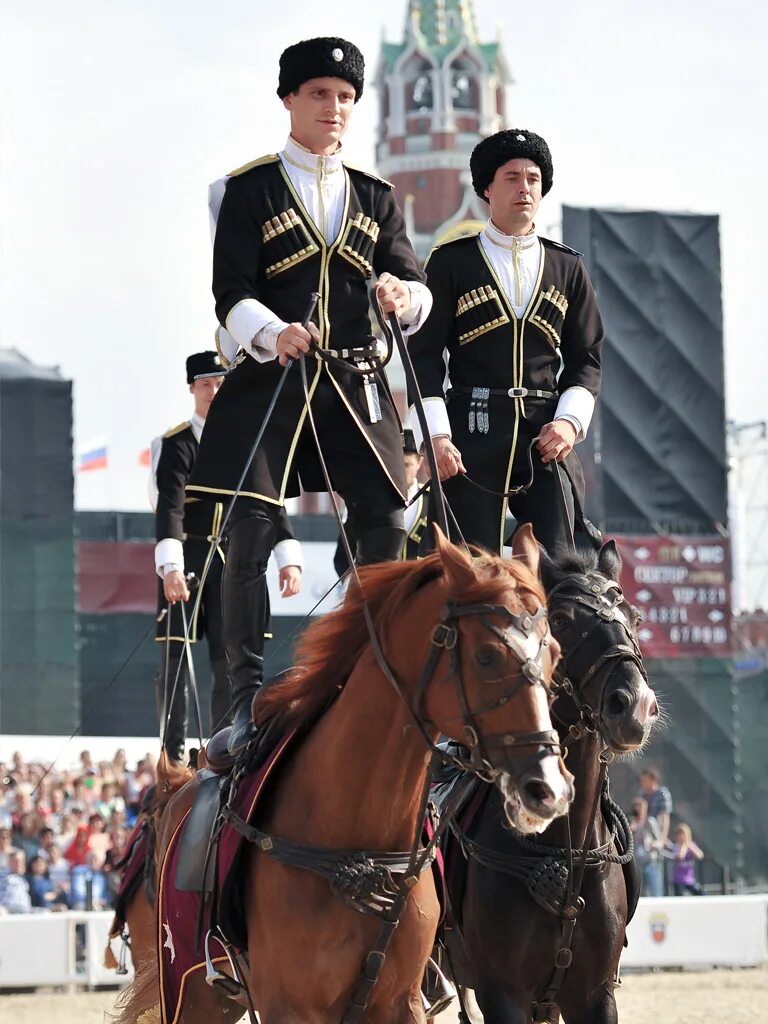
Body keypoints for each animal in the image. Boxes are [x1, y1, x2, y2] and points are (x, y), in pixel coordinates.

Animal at [114, 528, 573, 1024]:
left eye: (555, 654)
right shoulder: (288, 1005)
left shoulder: (401, 1002)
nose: (548, 788)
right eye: (487, 656)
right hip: (192, 989)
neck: (358, 842)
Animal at [448, 540, 659, 1019]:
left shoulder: (594, 995)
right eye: (561, 620)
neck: (565, 853)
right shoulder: (502, 993)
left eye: (635, 619)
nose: (636, 706)